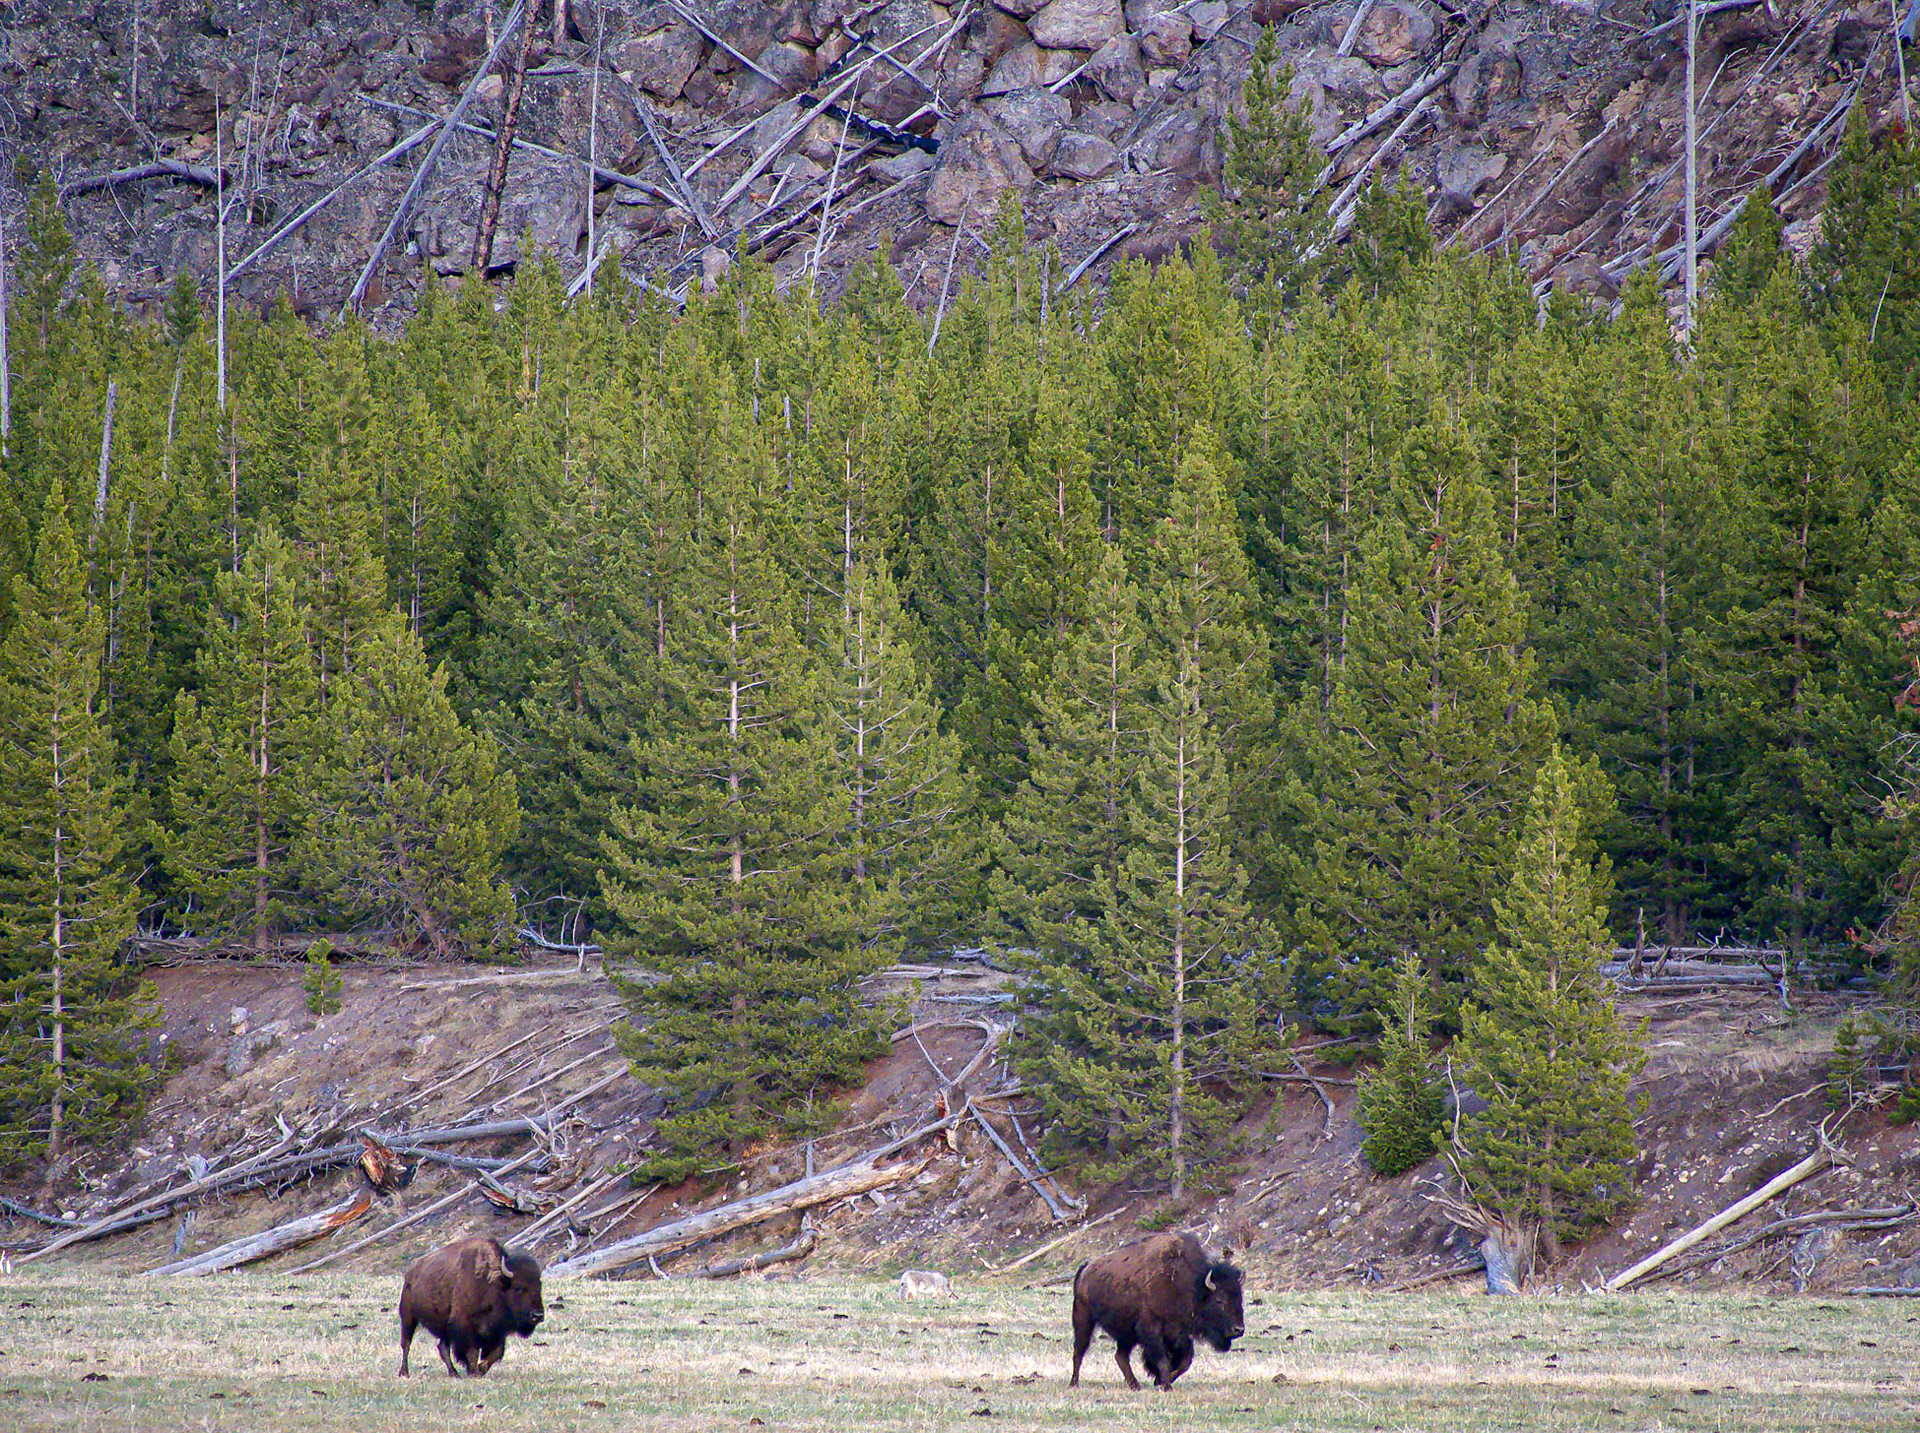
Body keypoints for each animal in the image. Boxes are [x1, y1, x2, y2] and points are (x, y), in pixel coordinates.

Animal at [397, 1236, 545, 1378]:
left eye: (539, 1287)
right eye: (518, 1287)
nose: (537, 1315)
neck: (492, 1284)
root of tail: (410, 1272)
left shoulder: (497, 1332)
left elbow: (496, 1352)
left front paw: (480, 1369)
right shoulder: (466, 1327)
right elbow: (472, 1352)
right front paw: (474, 1372)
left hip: (444, 1327)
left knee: (443, 1347)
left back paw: (454, 1373)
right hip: (408, 1317)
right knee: (406, 1344)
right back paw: (404, 1372)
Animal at [1069, 1232, 1244, 1391]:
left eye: (1240, 1298)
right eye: (1219, 1300)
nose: (1238, 1329)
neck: (1190, 1286)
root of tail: (1085, 1268)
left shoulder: (1180, 1334)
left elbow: (1185, 1362)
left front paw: (1160, 1381)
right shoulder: (1151, 1330)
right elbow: (1163, 1360)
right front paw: (1165, 1385)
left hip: (1127, 1334)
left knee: (1120, 1356)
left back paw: (1135, 1385)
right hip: (1083, 1319)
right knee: (1079, 1351)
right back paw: (1074, 1383)